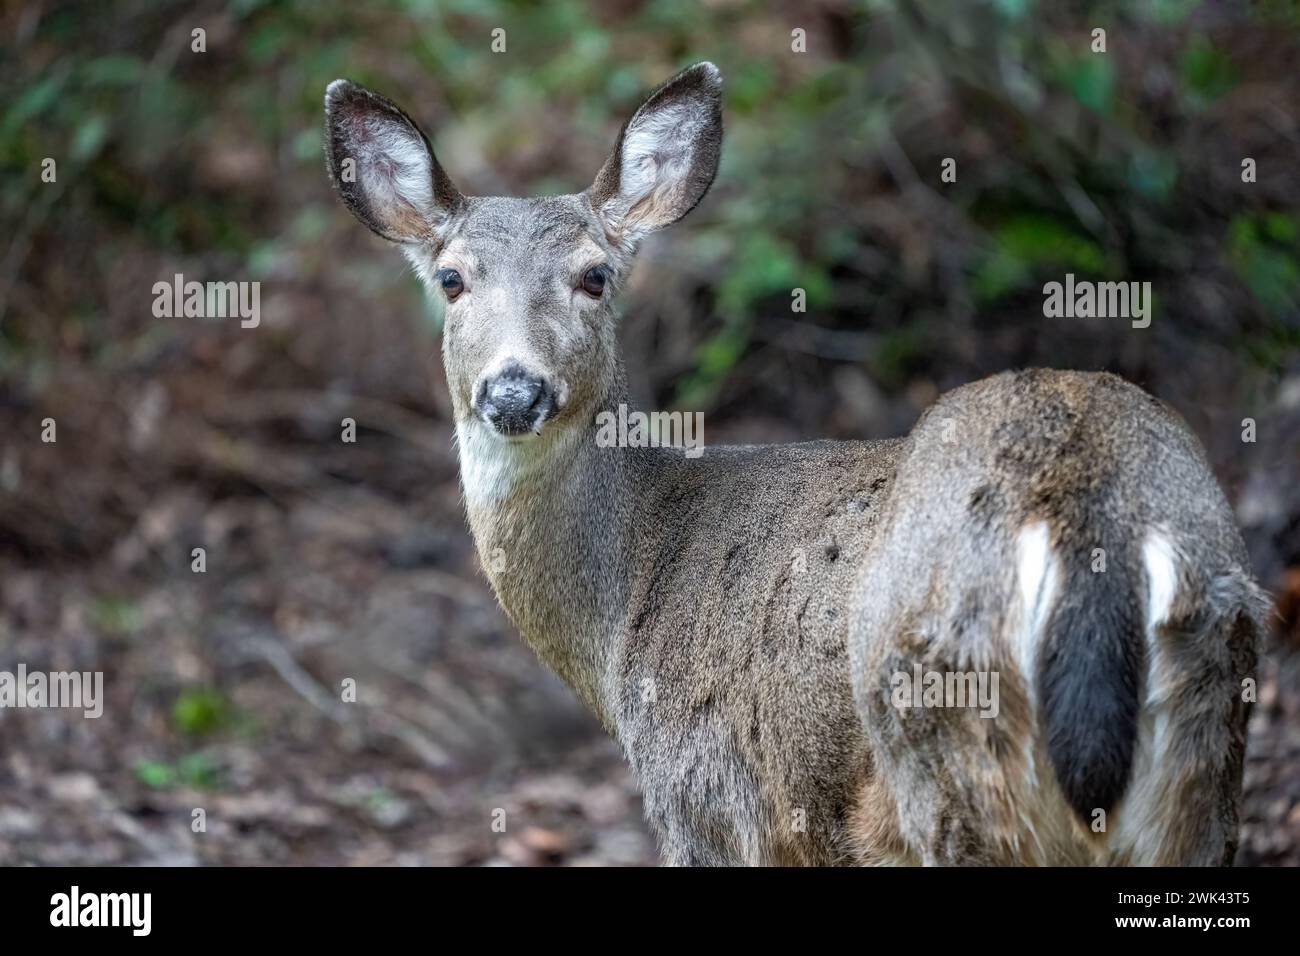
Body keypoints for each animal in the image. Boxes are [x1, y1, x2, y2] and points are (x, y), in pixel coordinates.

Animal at [319, 61, 1263, 868]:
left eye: (594, 276)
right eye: (451, 279)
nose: (514, 390)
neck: (623, 607)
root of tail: (1085, 507)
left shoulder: (709, 799)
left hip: (943, 730)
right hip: (1212, 729)